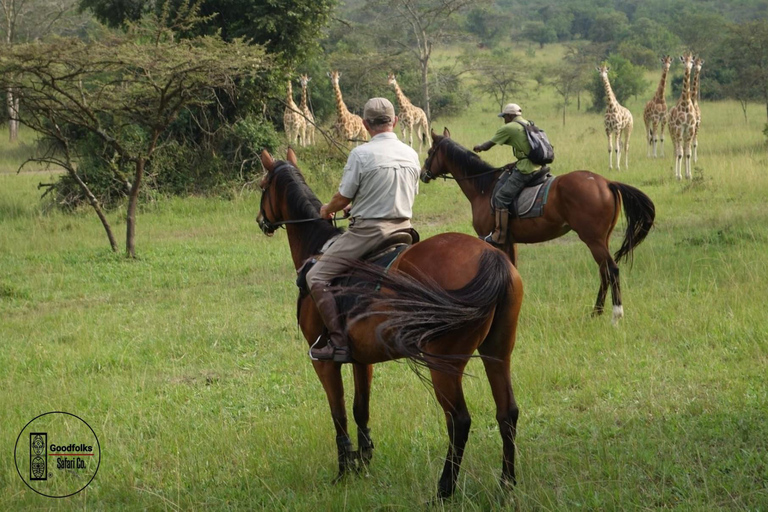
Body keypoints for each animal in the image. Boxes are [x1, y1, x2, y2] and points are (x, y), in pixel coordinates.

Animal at [256, 148, 520, 500]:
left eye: (262, 186)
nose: (261, 221)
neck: (317, 249)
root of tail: (491, 257)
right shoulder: (360, 358)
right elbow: (360, 409)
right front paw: (363, 462)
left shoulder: (324, 362)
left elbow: (338, 413)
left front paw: (344, 471)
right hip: (498, 353)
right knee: (507, 413)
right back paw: (506, 483)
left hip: (444, 363)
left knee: (459, 420)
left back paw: (444, 489)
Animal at [420, 130, 656, 326]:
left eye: (430, 151)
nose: (423, 174)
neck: (483, 187)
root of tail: (607, 183)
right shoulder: (508, 241)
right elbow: (512, 271)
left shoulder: (489, 239)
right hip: (601, 240)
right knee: (604, 271)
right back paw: (595, 312)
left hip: (593, 240)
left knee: (612, 270)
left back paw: (616, 316)